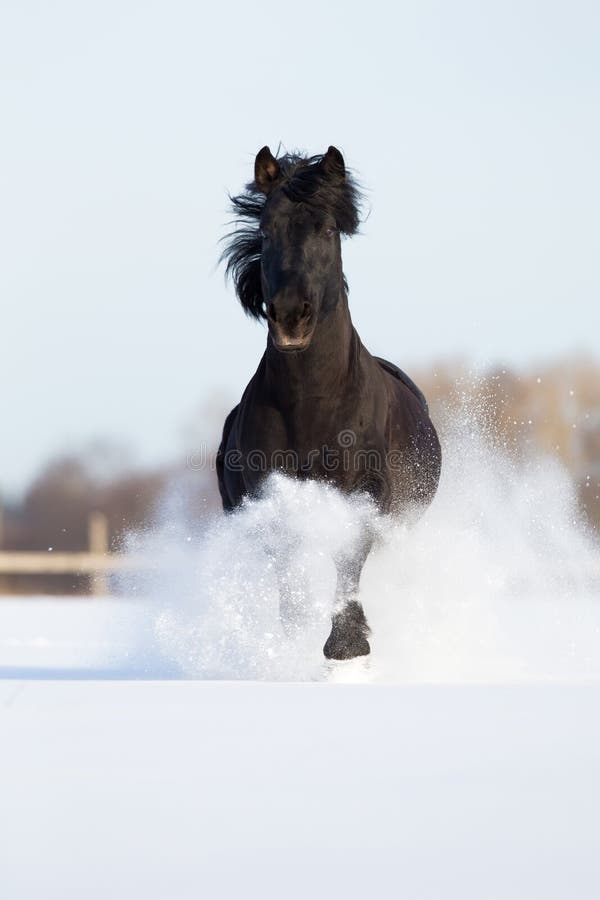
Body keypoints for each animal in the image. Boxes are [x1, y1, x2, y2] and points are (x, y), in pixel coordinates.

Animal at [217, 144, 440, 656]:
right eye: (266, 228)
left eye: (328, 229)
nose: (289, 317)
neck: (312, 403)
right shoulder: (268, 494)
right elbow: (288, 565)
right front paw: (298, 635)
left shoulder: (367, 492)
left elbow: (350, 555)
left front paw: (347, 643)